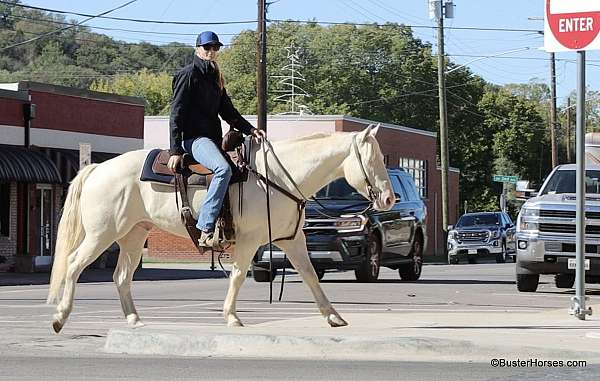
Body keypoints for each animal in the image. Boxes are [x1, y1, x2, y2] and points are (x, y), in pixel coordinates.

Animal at [47, 124, 394, 330]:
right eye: (373, 160)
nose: (390, 198)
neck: (277, 177)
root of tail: (96, 168)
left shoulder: (292, 240)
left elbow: (310, 275)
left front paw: (334, 316)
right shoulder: (250, 241)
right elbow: (239, 276)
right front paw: (232, 316)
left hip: (134, 234)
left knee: (121, 276)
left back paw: (134, 320)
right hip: (102, 234)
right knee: (74, 264)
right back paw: (60, 317)